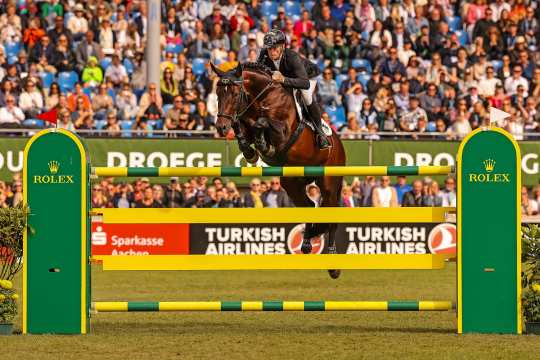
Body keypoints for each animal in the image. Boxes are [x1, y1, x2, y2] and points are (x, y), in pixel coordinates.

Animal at [211, 63, 346, 280]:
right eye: (217, 93)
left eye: (234, 93)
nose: (221, 128)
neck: (263, 96)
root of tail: (340, 145)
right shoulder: (244, 119)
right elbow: (242, 127)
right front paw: (250, 152)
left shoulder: (283, 132)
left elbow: (262, 123)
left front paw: (264, 146)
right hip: (292, 183)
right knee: (309, 206)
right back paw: (306, 242)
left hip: (329, 183)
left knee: (331, 213)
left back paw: (333, 265)